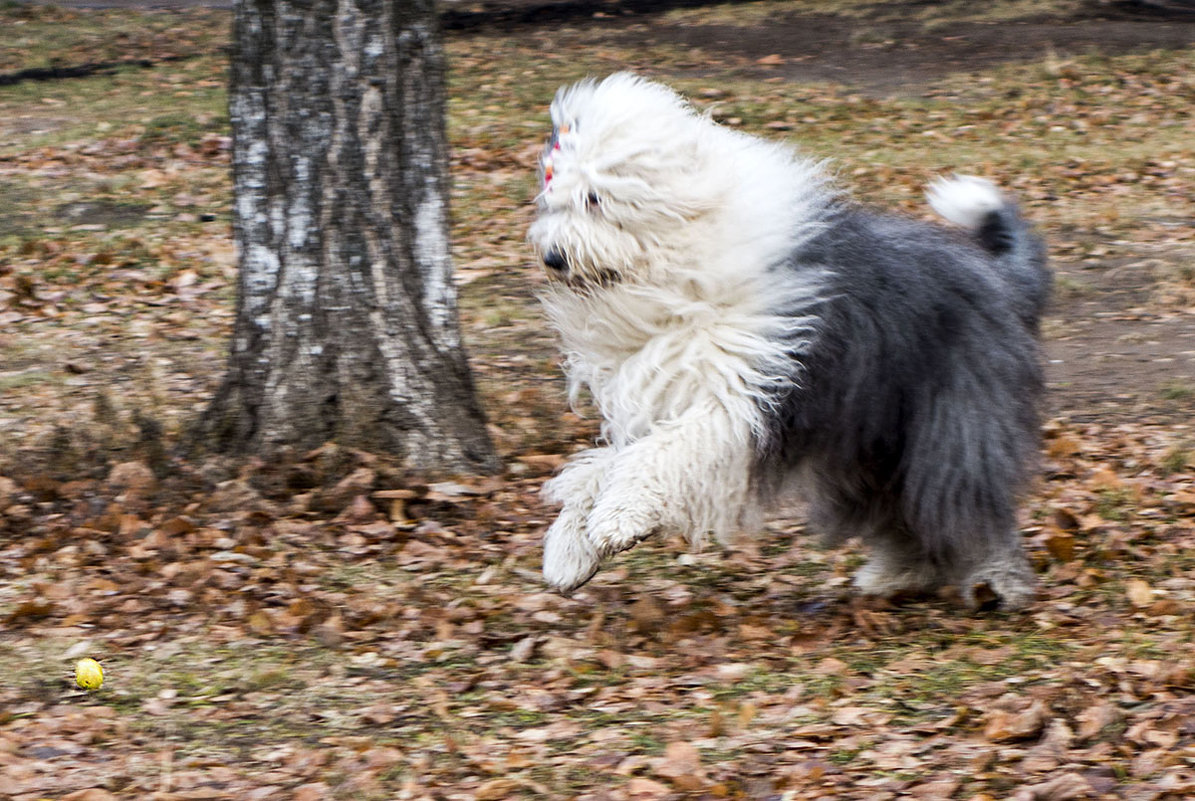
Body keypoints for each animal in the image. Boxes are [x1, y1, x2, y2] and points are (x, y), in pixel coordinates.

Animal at [530, 77, 1046, 616]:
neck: (678, 266)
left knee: (963, 498)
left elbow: (659, 452)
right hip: (871, 441)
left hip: (948, 424)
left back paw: (996, 582)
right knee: (898, 505)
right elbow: (604, 466)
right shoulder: (668, 389)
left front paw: (618, 519)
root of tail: (997, 275)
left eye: (594, 198)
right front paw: (569, 551)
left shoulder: (739, 392)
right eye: (553, 200)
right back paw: (897, 575)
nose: (553, 257)